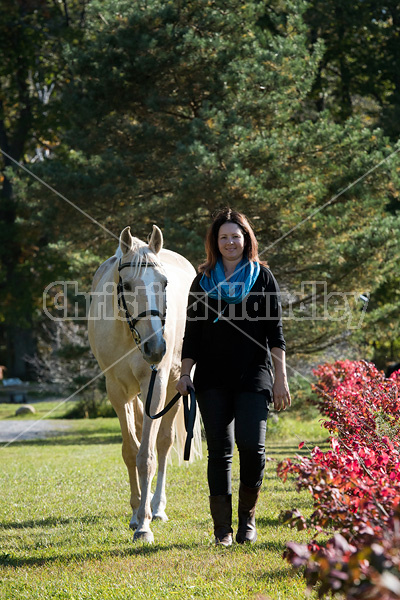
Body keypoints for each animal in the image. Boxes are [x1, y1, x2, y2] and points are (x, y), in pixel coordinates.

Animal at [87, 226, 200, 544]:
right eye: (125, 285)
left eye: (164, 283)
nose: (156, 347)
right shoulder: (116, 391)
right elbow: (130, 451)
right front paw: (137, 513)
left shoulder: (157, 384)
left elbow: (147, 455)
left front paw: (145, 525)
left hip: (175, 386)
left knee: (162, 443)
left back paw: (157, 508)